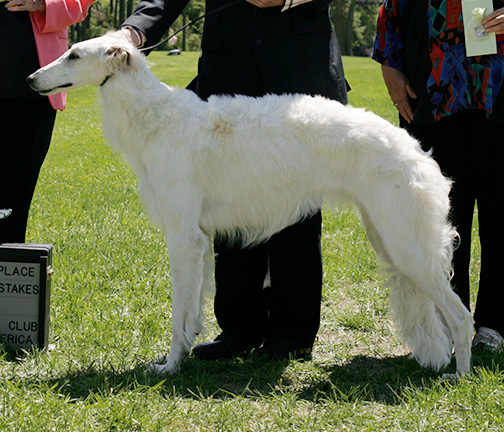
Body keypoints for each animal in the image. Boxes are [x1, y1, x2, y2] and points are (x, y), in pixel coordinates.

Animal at [29, 33, 474, 378]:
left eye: (74, 55)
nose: (32, 79)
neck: (159, 119)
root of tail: (418, 153)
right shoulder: (200, 238)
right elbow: (192, 312)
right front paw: (187, 352)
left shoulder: (182, 237)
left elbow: (177, 314)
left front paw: (169, 366)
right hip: (389, 237)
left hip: (408, 246)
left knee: (460, 316)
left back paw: (460, 375)